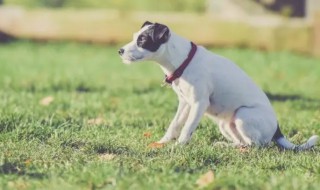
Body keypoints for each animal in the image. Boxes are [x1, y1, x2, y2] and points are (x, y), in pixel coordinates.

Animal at [118, 21, 318, 150]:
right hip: (226, 124)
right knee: (243, 143)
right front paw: (163, 142)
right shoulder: (185, 103)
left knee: (256, 145)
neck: (183, 60)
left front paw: (179, 146)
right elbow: (174, 124)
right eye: (134, 37)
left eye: (142, 40)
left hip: (242, 115)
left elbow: (187, 128)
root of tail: (277, 130)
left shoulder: (198, 104)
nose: (120, 51)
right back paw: (225, 145)